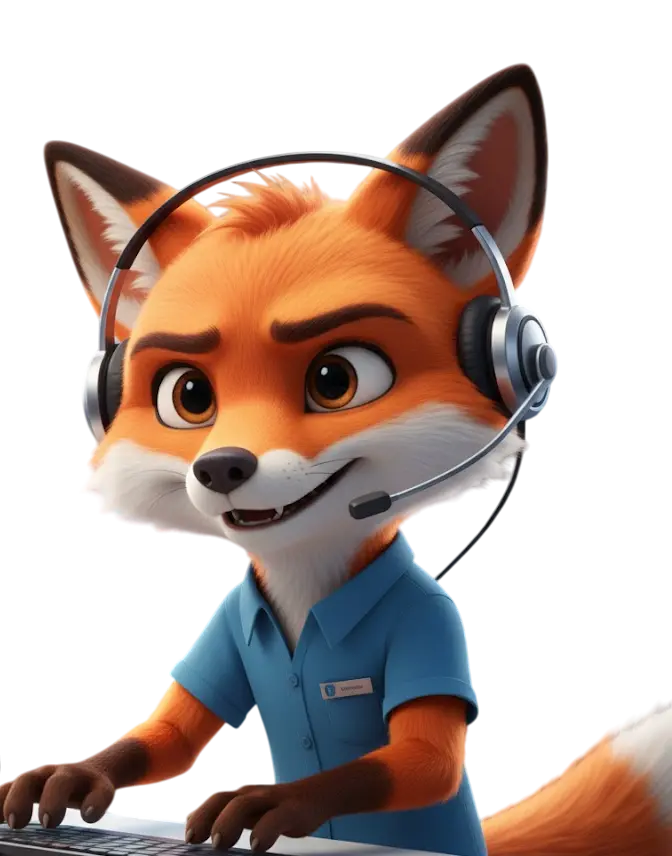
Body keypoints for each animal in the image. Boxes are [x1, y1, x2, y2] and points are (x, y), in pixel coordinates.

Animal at [2, 65, 669, 856]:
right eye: (189, 396)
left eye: (335, 380)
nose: (221, 468)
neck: (302, 587)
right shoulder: (223, 629)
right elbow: (165, 735)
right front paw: (71, 776)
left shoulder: (430, 622)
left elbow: (419, 759)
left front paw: (271, 800)